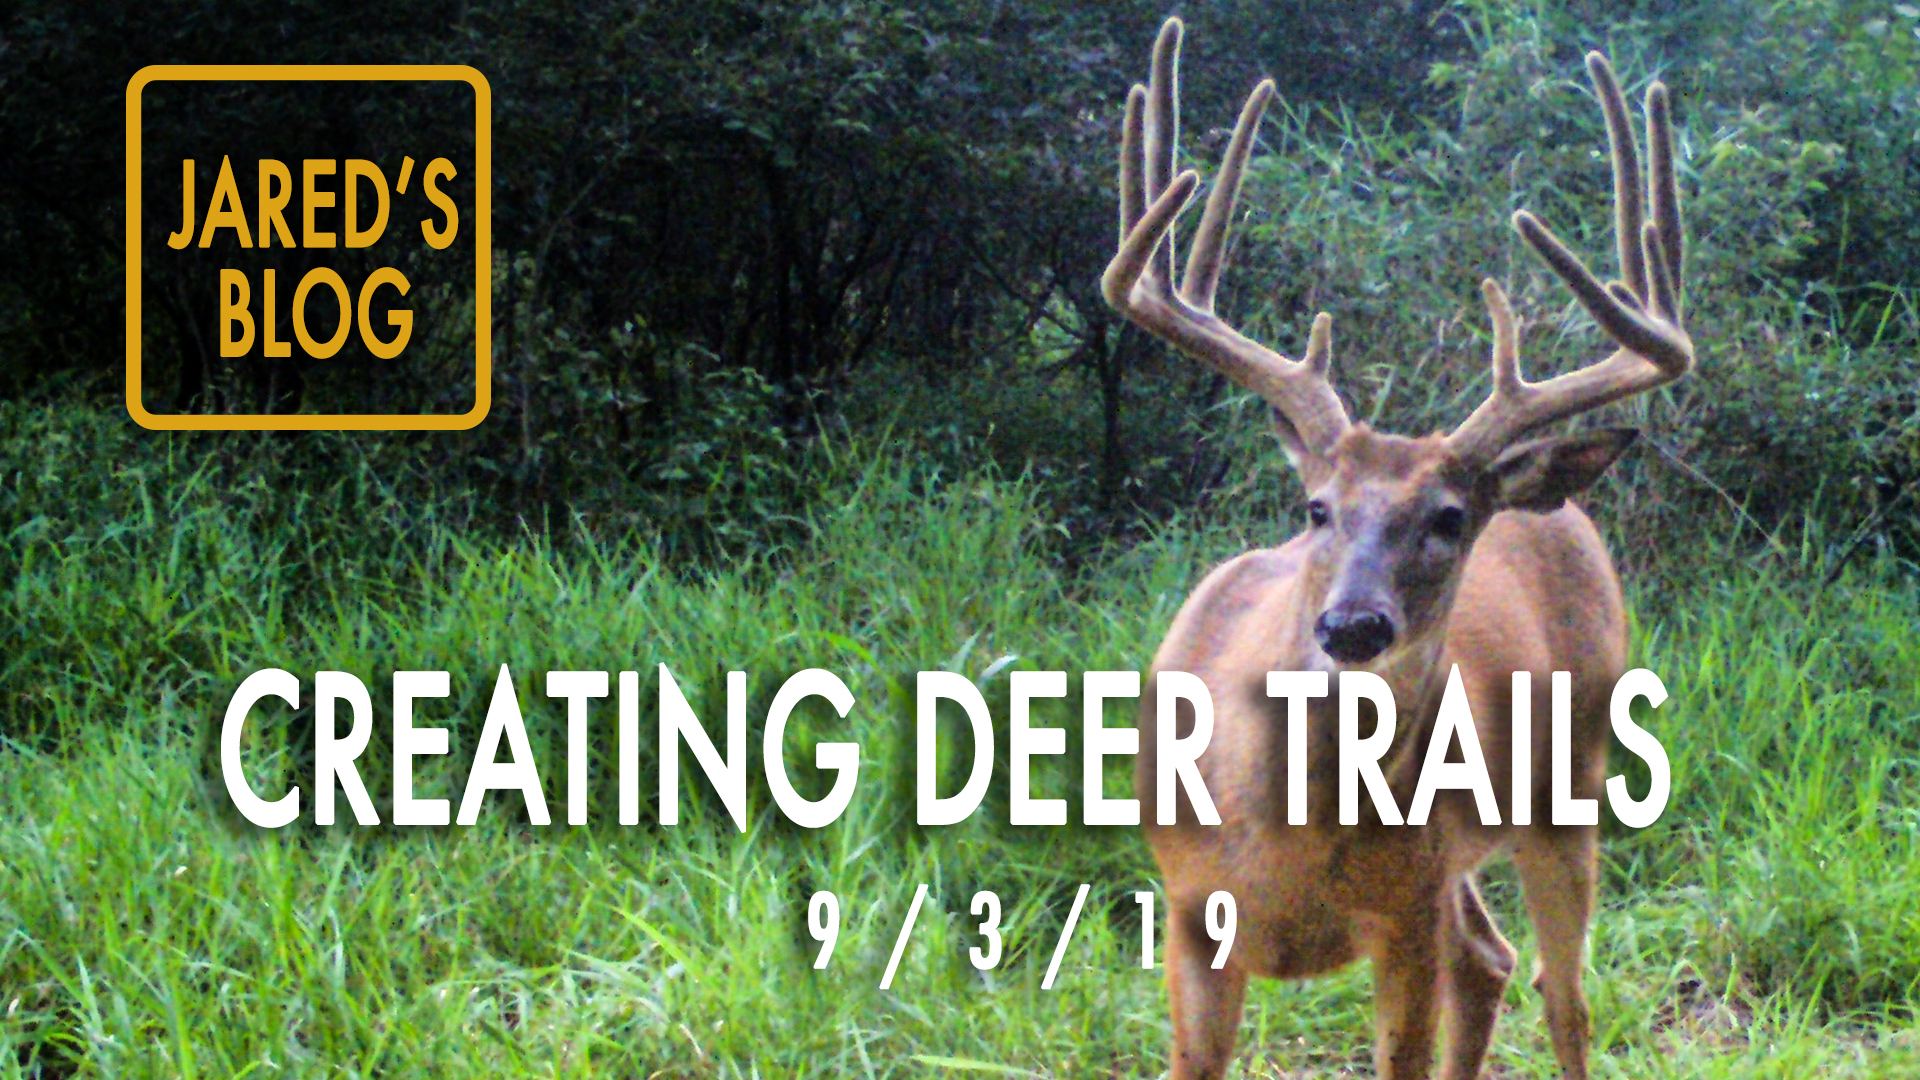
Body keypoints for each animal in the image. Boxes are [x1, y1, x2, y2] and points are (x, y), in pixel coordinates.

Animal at [1107, 19, 1692, 1080]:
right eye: (1315, 508)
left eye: (1449, 519)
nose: (1352, 625)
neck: (1283, 841)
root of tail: (1557, 506)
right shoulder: (1187, 913)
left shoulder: (1404, 917)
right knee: (1490, 960)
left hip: (1569, 791)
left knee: (1562, 994)